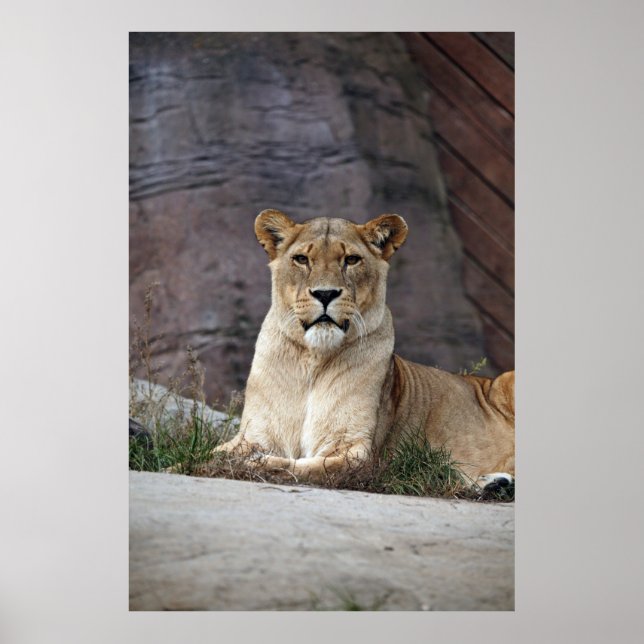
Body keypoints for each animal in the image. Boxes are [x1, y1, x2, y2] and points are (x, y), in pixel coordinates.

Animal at [212, 209, 515, 490]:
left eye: (351, 260)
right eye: (301, 259)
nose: (325, 294)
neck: (313, 359)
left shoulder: (359, 454)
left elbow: (303, 467)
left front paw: (254, 463)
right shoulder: (254, 434)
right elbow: (216, 451)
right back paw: (494, 485)